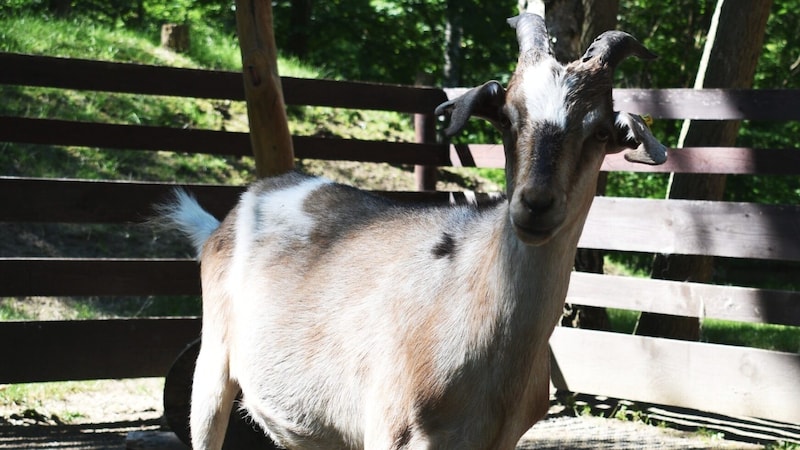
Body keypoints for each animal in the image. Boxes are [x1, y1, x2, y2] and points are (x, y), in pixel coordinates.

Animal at [159, 14, 664, 450]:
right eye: (506, 117)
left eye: (601, 132)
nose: (536, 204)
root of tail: (233, 213)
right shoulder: (389, 430)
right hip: (211, 372)